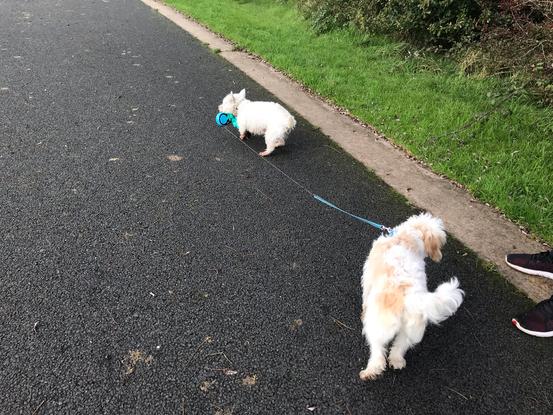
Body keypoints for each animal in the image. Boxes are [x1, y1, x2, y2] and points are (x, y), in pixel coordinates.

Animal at [358, 213, 462, 382]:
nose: (439, 255)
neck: (407, 236)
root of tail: (409, 299)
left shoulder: (367, 280)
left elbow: (365, 296)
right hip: (410, 329)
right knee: (400, 346)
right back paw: (397, 361)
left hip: (378, 325)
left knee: (378, 350)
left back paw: (371, 371)